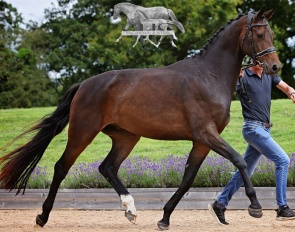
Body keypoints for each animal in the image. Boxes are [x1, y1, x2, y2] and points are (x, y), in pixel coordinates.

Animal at [0, 6, 282, 231]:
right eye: (259, 35)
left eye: (272, 35)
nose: (275, 67)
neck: (209, 76)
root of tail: (84, 85)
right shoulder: (206, 134)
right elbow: (239, 161)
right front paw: (255, 206)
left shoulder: (202, 141)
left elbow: (187, 179)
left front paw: (165, 218)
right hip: (83, 132)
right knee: (62, 167)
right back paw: (42, 216)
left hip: (126, 137)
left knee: (107, 167)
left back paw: (131, 210)